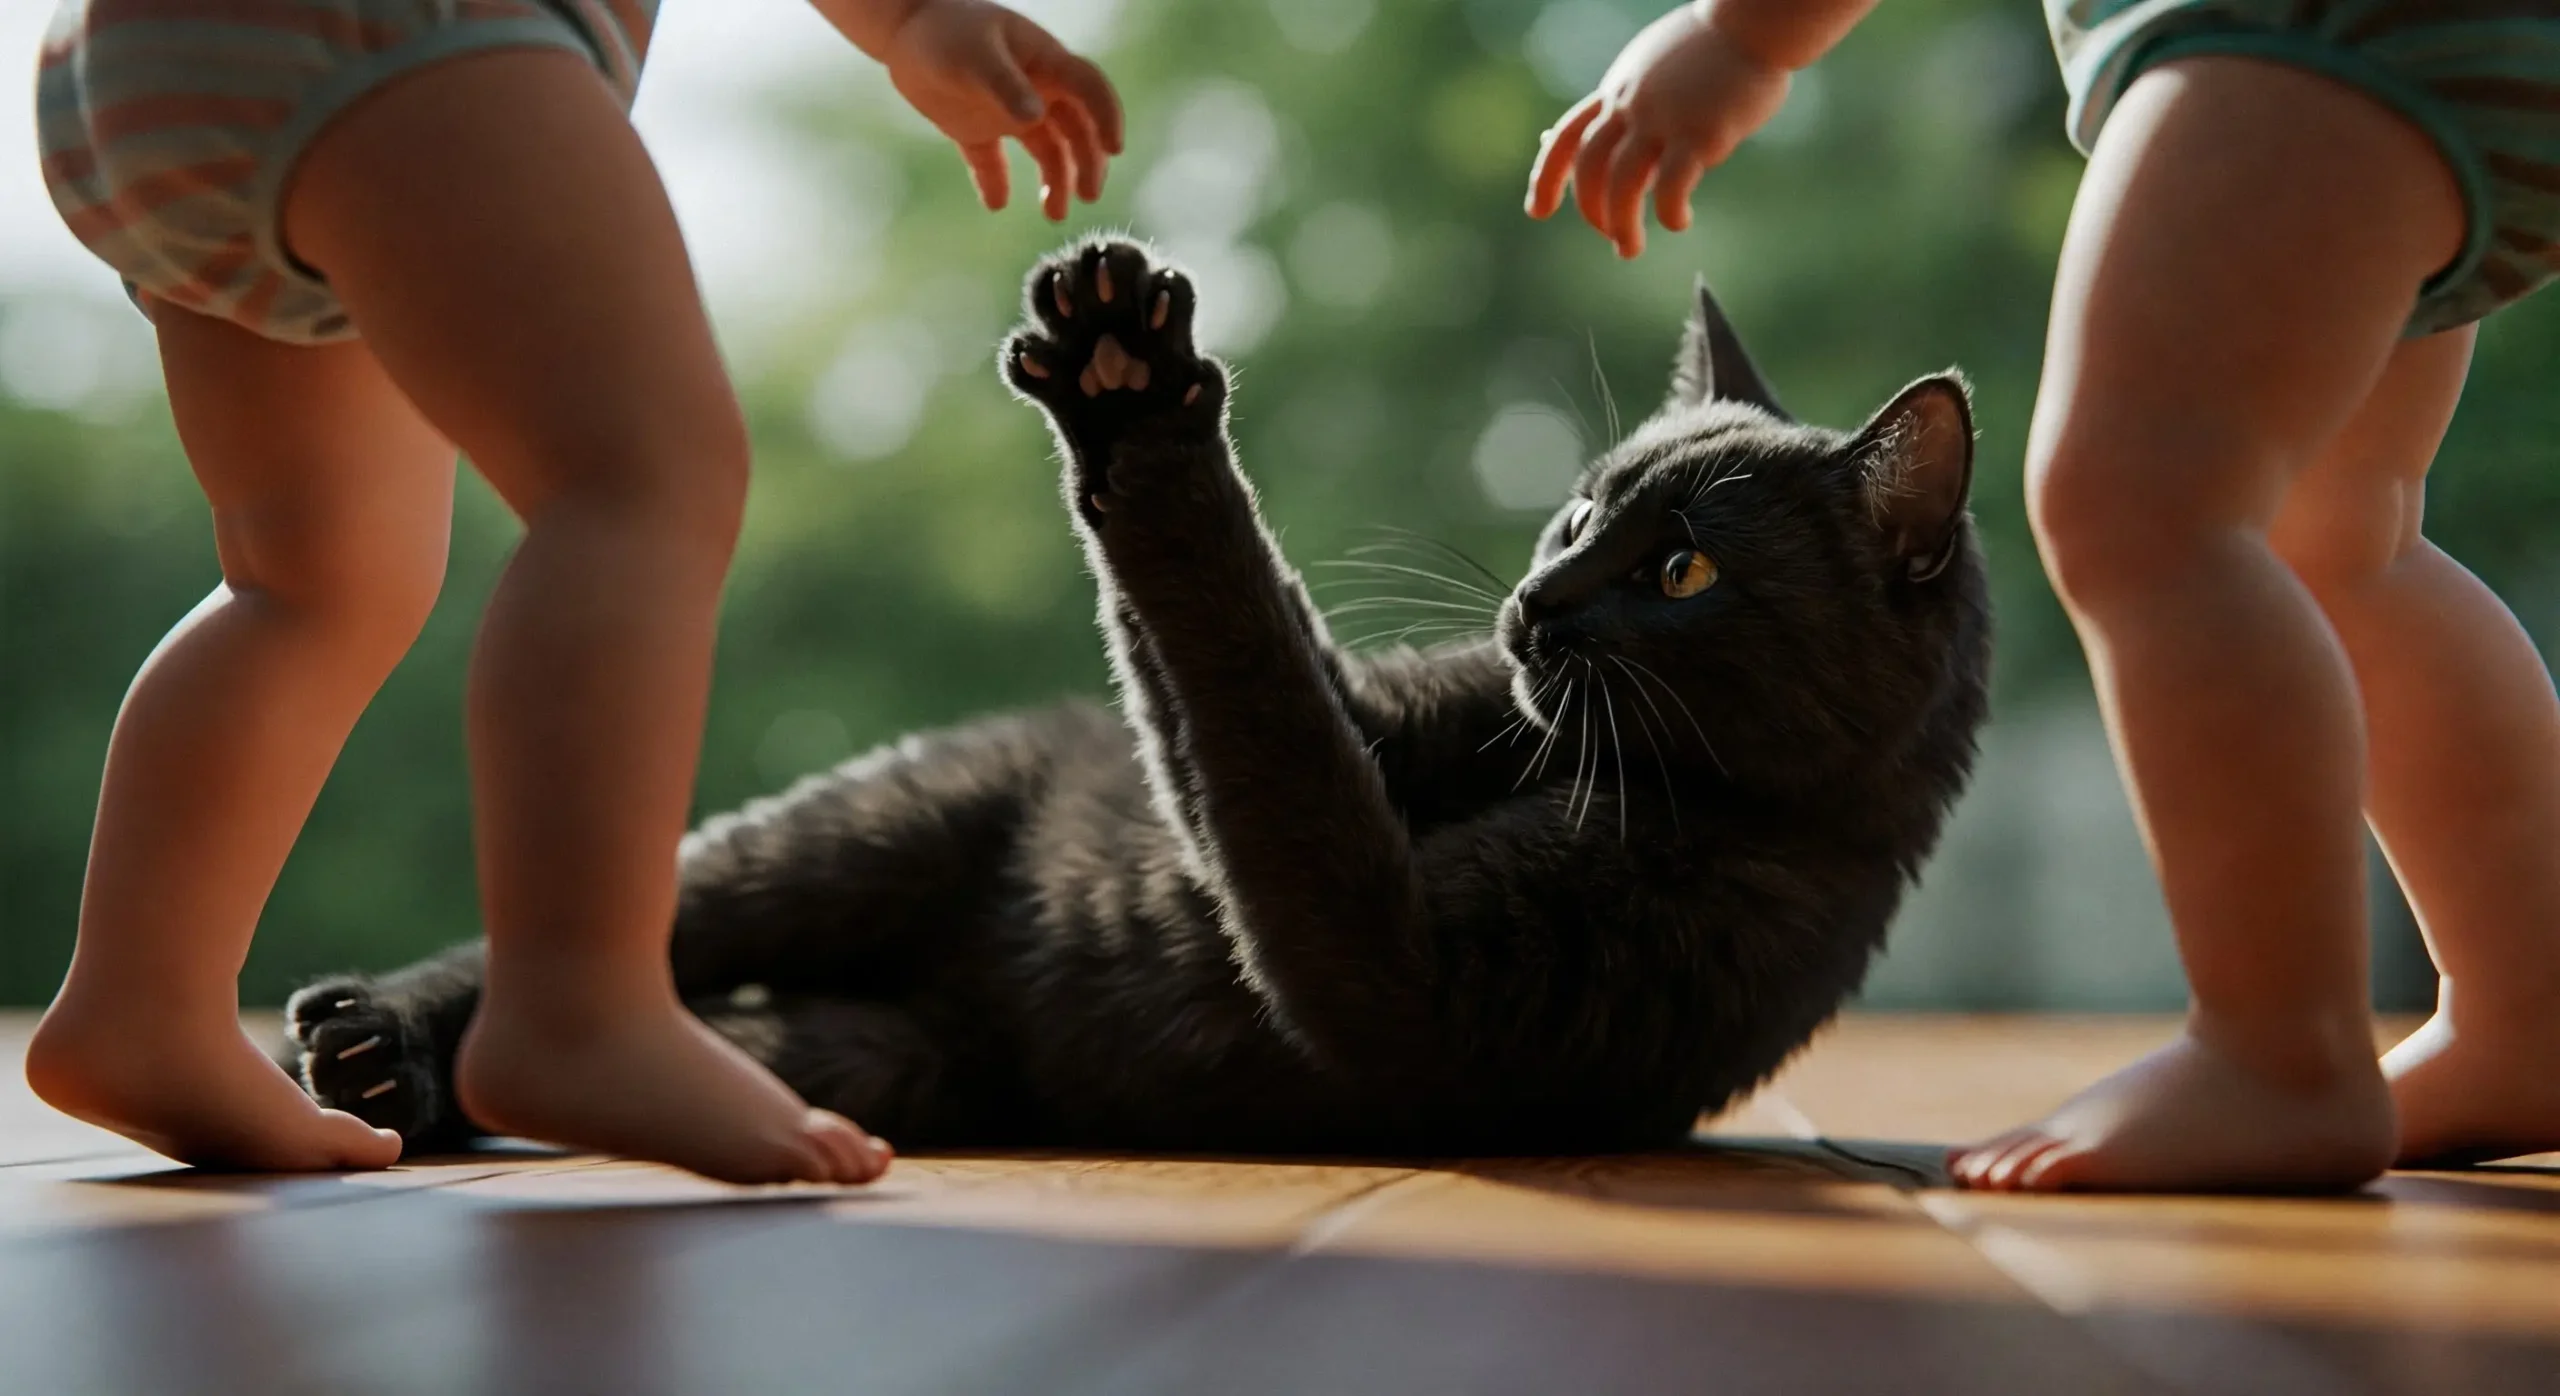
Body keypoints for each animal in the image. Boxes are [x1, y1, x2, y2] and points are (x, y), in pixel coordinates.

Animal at [285, 236, 1996, 1152]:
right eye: (1579, 513)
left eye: (1685, 570)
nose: (1535, 604)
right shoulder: (1401, 725)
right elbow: (1269, 672)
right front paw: (1119, 368)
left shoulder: (1394, 973)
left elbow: (1248, 687)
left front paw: (1143, 409)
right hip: (852, 838)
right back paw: (371, 1051)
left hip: (880, 1048)